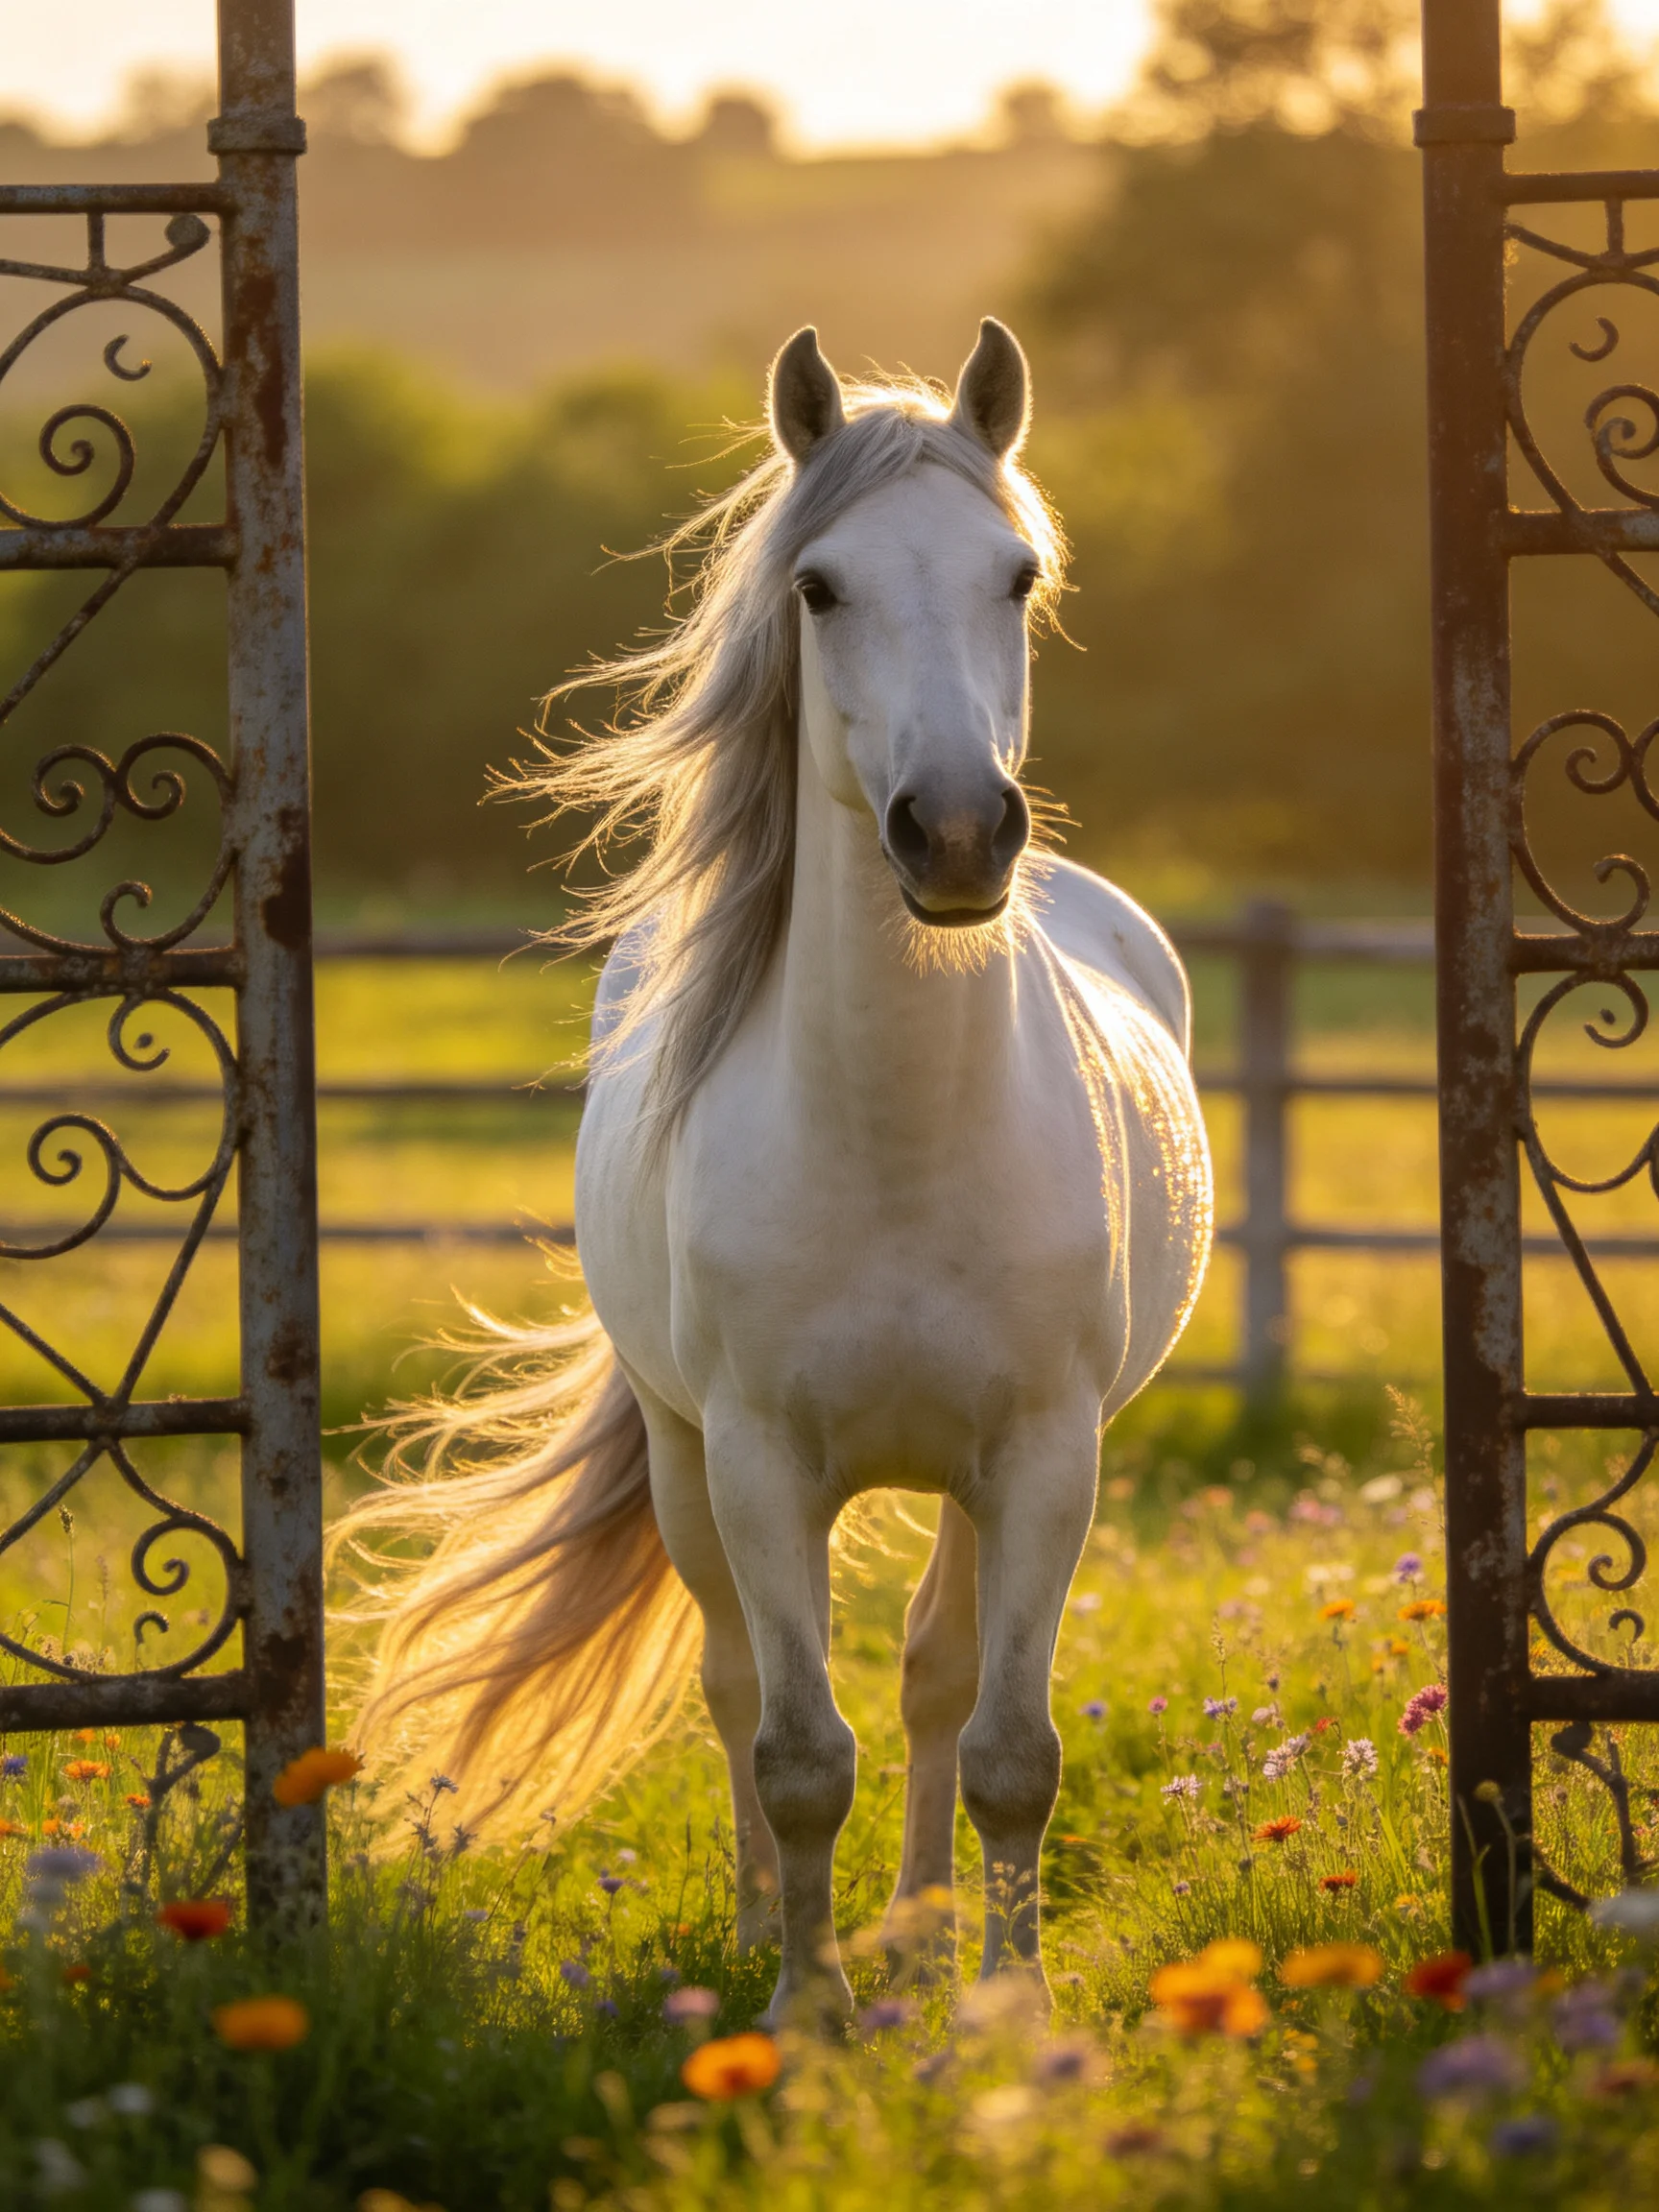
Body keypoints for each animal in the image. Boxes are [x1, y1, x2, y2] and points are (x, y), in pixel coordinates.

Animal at [338, 318, 1212, 2025]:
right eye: (819, 587)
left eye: (1017, 574)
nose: (957, 835)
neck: (898, 1144)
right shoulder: (754, 1464)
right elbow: (796, 1748)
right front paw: (805, 2012)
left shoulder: (1047, 1457)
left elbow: (1008, 1746)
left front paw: (1008, 2010)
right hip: (688, 1463)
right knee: (737, 1678)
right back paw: (762, 1935)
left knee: (939, 1677)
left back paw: (928, 1939)